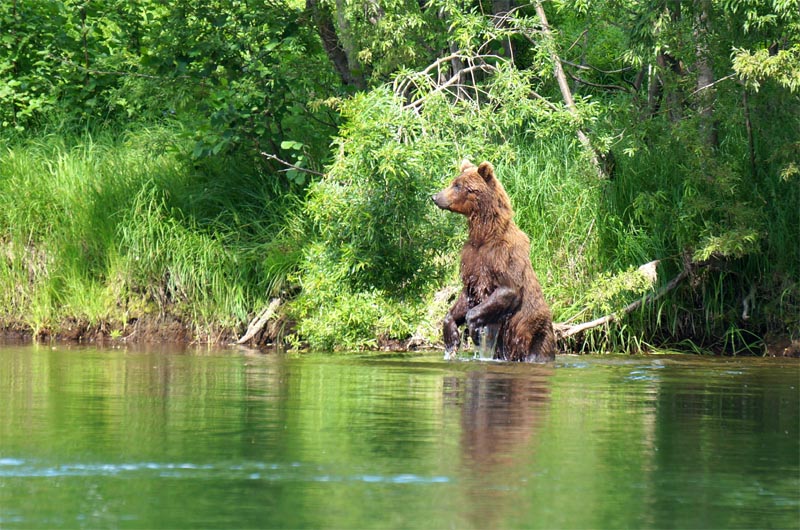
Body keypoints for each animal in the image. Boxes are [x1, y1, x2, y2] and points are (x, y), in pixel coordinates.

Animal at [432, 159, 556, 360]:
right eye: (453, 182)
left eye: (458, 186)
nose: (435, 197)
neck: (485, 234)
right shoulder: (472, 260)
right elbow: (465, 295)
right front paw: (452, 335)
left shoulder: (503, 256)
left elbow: (508, 288)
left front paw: (474, 330)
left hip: (535, 334)